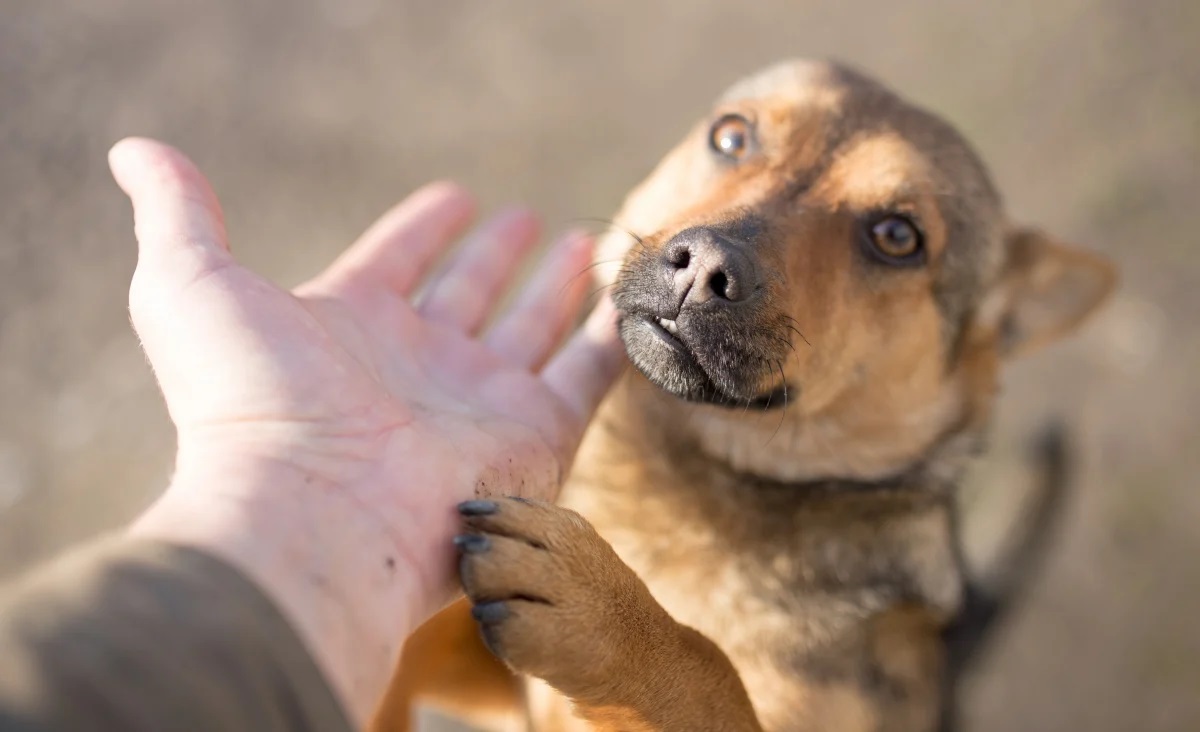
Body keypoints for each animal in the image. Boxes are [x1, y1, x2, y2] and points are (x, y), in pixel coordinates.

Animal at [367, 58, 1113, 729]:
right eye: (731, 137)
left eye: (898, 236)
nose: (705, 267)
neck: (681, 483)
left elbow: (710, 673)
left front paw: (604, 612)